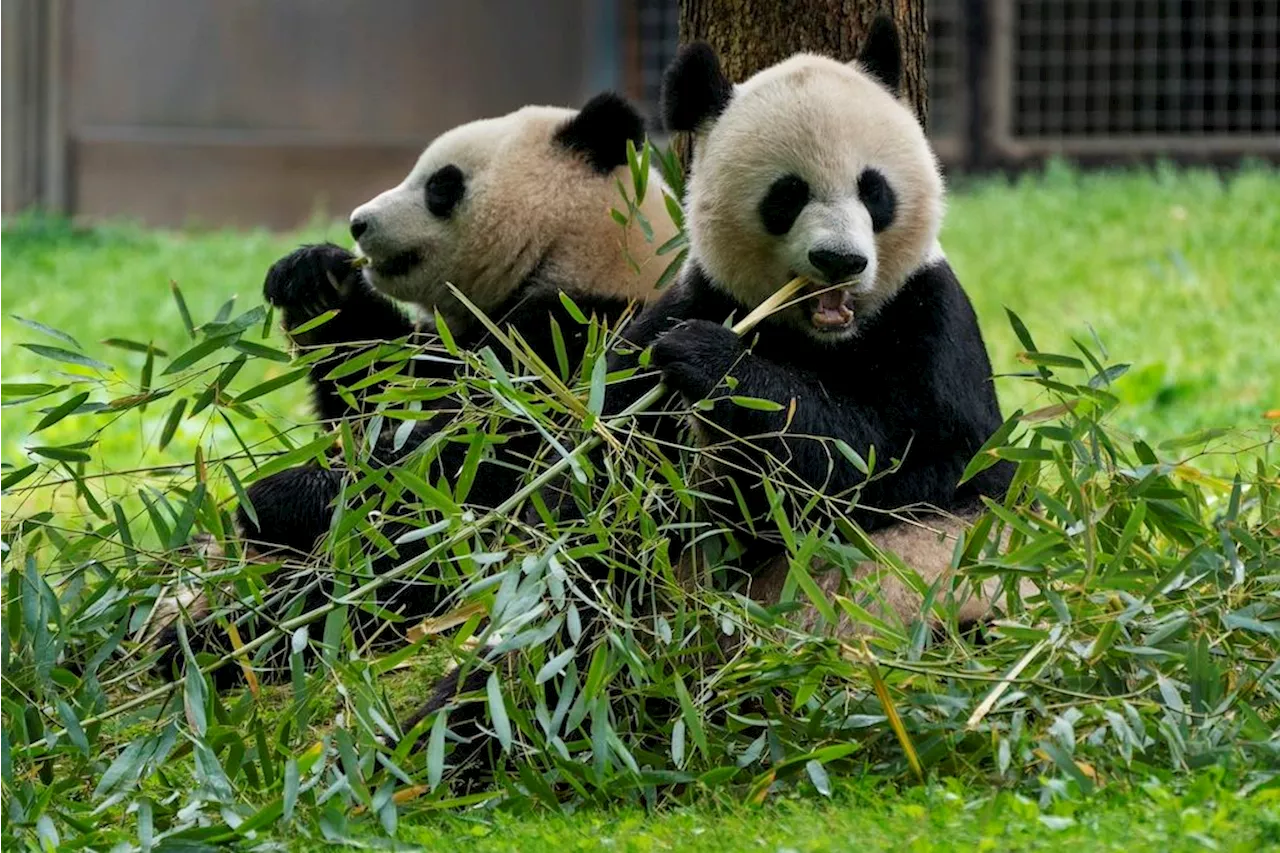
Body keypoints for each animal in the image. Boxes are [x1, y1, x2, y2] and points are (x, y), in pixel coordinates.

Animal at [149, 91, 680, 686]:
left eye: (440, 186)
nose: (358, 223)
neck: (583, 254)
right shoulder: (455, 342)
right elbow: (374, 389)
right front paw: (313, 277)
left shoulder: (581, 346)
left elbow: (472, 468)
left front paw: (275, 498)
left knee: (369, 590)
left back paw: (211, 643)